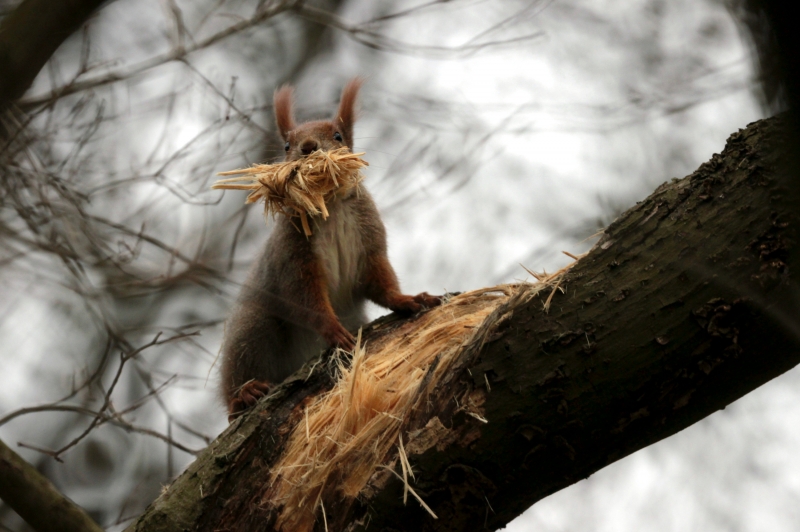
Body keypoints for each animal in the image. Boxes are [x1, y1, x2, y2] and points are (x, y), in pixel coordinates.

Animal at [220, 78, 441, 420]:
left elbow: (381, 283)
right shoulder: (294, 257)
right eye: (286, 145)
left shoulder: (370, 244)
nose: (308, 146)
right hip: (254, 326)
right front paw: (334, 331)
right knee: (238, 378)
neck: (331, 204)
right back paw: (244, 394)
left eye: (337, 135)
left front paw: (408, 300)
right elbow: (306, 299)